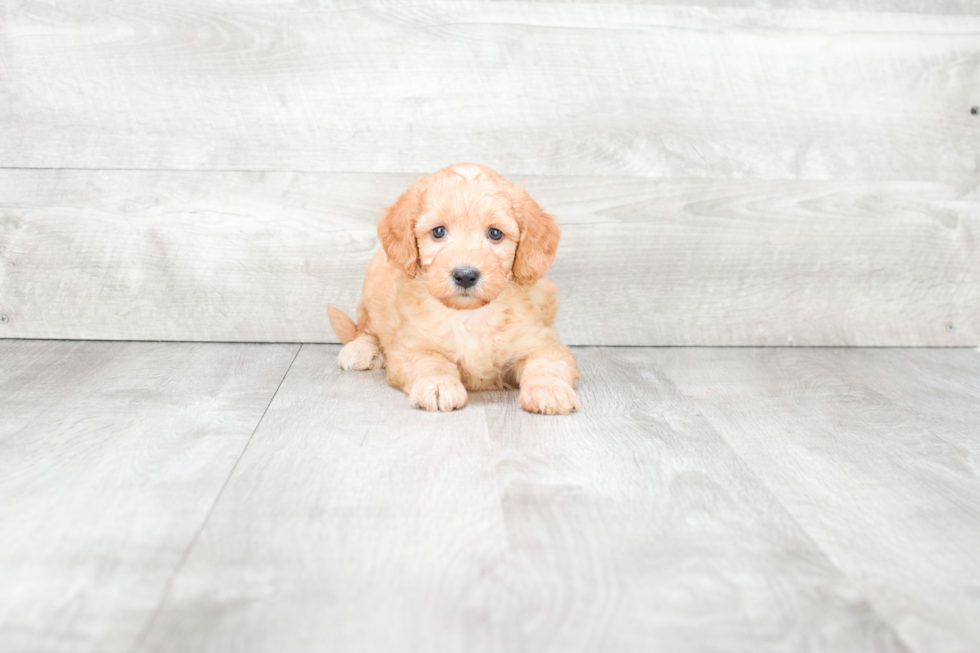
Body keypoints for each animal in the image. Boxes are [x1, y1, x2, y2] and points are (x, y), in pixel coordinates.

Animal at [326, 161, 580, 412]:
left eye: (495, 233)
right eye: (439, 231)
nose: (465, 276)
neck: (470, 315)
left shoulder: (540, 342)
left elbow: (546, 363)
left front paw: (549, 389)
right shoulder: (411, 348)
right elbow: (431, 361)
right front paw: (438, 385)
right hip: (373, 290)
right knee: (365, 329)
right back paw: (360, 350)